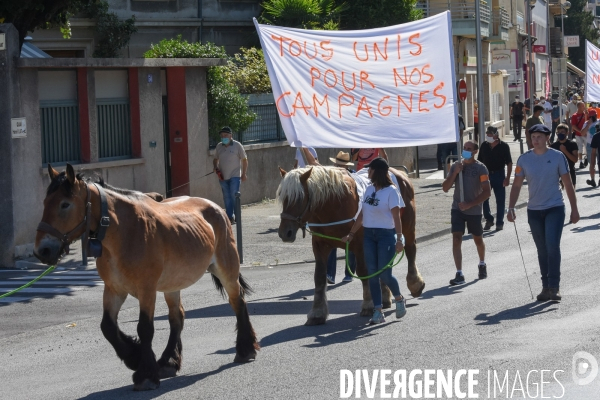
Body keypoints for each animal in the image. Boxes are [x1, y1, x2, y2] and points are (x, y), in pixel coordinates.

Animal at [33, 163, 258, 390]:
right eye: (44, 202)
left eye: (64, 204)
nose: (42, 251)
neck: (124, 231)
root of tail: (217, 208)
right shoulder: (114, 289)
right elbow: (107, 326)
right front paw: (134, 356)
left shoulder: (147, 290)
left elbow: (145, 328)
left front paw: (146, 374)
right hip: (172, 285)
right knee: (177, 318)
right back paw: (168, 362)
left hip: (226, 269)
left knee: (237, 302)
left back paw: (245, 349)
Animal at [278, 166, 424, 324]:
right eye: (283, 198)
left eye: (298, 198)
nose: (285, 233)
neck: (335, 204)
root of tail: (399, 172)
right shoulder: (319, 244)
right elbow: (320, 276)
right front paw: (317, 312)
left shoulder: (359, 245)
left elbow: (363, 272)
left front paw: (368, 304)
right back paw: (385, 297)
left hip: (407, 228)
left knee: (410, 250)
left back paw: (415, 284)